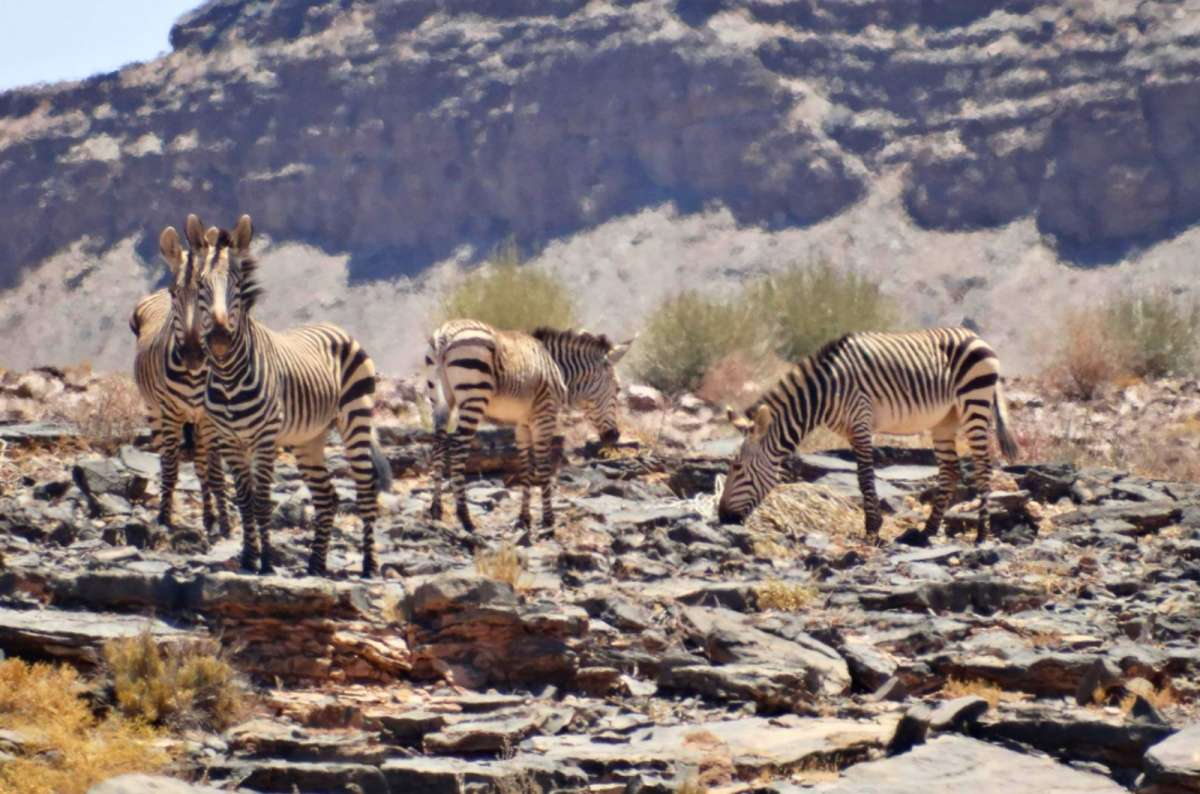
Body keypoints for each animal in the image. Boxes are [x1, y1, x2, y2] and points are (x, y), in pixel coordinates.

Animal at [130, 216, 230, 539]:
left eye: (204, 293)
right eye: (175, 293)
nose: (192, 354)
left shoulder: (209, 418)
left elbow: (213, 471)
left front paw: (223, 522)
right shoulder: (171, 412)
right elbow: (171, 467)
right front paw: (164, 517)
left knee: (201, 464)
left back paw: (211, 516)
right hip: (155, 413)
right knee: (166, 458)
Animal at [194, 215, 392, 577]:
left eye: (237, 286)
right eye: (201, 285)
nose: (219, 337)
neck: (229, 376)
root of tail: (337, 328)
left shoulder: (264, 438)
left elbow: (261, 501)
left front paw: (266, 563)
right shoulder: (229, 440)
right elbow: (243, 500)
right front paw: (248, 558)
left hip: (356, 418)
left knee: (365, 490)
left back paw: (370, 565)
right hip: (308, 438)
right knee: (328, 496)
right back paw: (316, 563)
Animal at [424, 320, 632, 534]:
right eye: (617, 389)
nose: (614, 436)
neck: (557, 367)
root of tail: (445, 335)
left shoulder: (523, 423)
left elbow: (525, 467)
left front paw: (524, 518)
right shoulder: (544, 418)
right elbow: (544, 467)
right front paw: (548, 520)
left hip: (439, 400)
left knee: (438, 445)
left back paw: (436, 510)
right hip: (474, 396)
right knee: (458, 449)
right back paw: (465, 518)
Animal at [717, 327, 1019, 545]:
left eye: (738, 468)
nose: (722, 517)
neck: (824, 393)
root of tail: (976, 336)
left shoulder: (860, 421)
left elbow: (864, 477)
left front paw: (872, 529)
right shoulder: (852, 430)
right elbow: (863, 477)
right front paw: (875, 526)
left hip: (974, 403)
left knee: (983, 466)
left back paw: (981, 534)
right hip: (945, 420)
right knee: (950, 470)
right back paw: (926, 531)